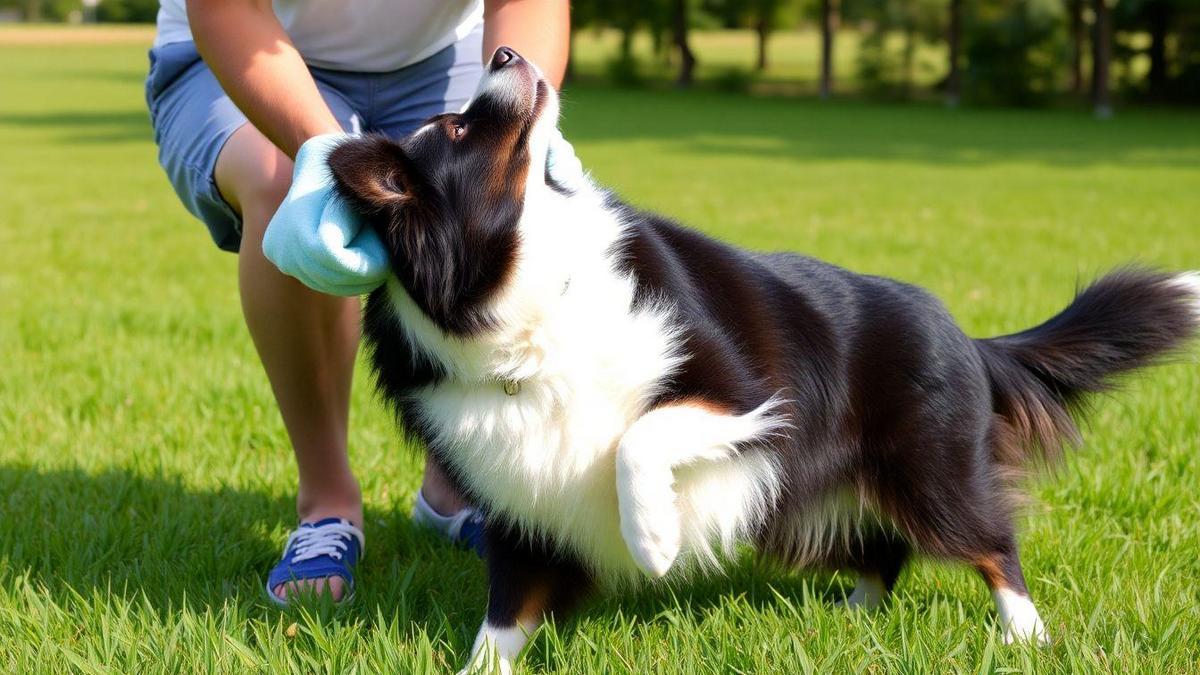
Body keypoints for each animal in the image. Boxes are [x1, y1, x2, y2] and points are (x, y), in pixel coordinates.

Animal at [324, 47, 1195, 672]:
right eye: (457, 130)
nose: (505, 50)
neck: (521, 297)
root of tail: (966, 335)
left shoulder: (745, 395)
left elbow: (639, 437)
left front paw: (653, 538)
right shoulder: (519, 498)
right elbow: (505, 614)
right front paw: (479, 668)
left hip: (925, 471)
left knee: (987, 540)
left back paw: (1025, 634)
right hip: (800, 504)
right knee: (883, 548)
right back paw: (854, 613)